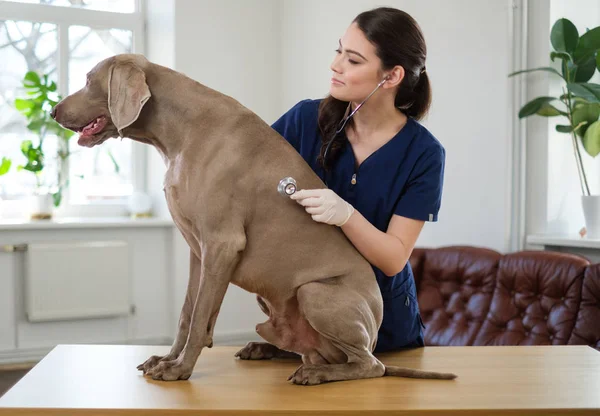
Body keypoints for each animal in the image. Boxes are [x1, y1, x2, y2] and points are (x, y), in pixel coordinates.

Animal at [51, 53, 458, 386]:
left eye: (87, 79)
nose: (53, 111)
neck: (182, 129)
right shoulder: (199, 252)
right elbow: (187, 313)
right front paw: (167, 358)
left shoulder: (222, 244)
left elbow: (200, 317)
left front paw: (180, 369)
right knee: (319, 352)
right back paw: (272, 351)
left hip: (316, 293)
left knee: (370, 365)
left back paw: (316, 374)